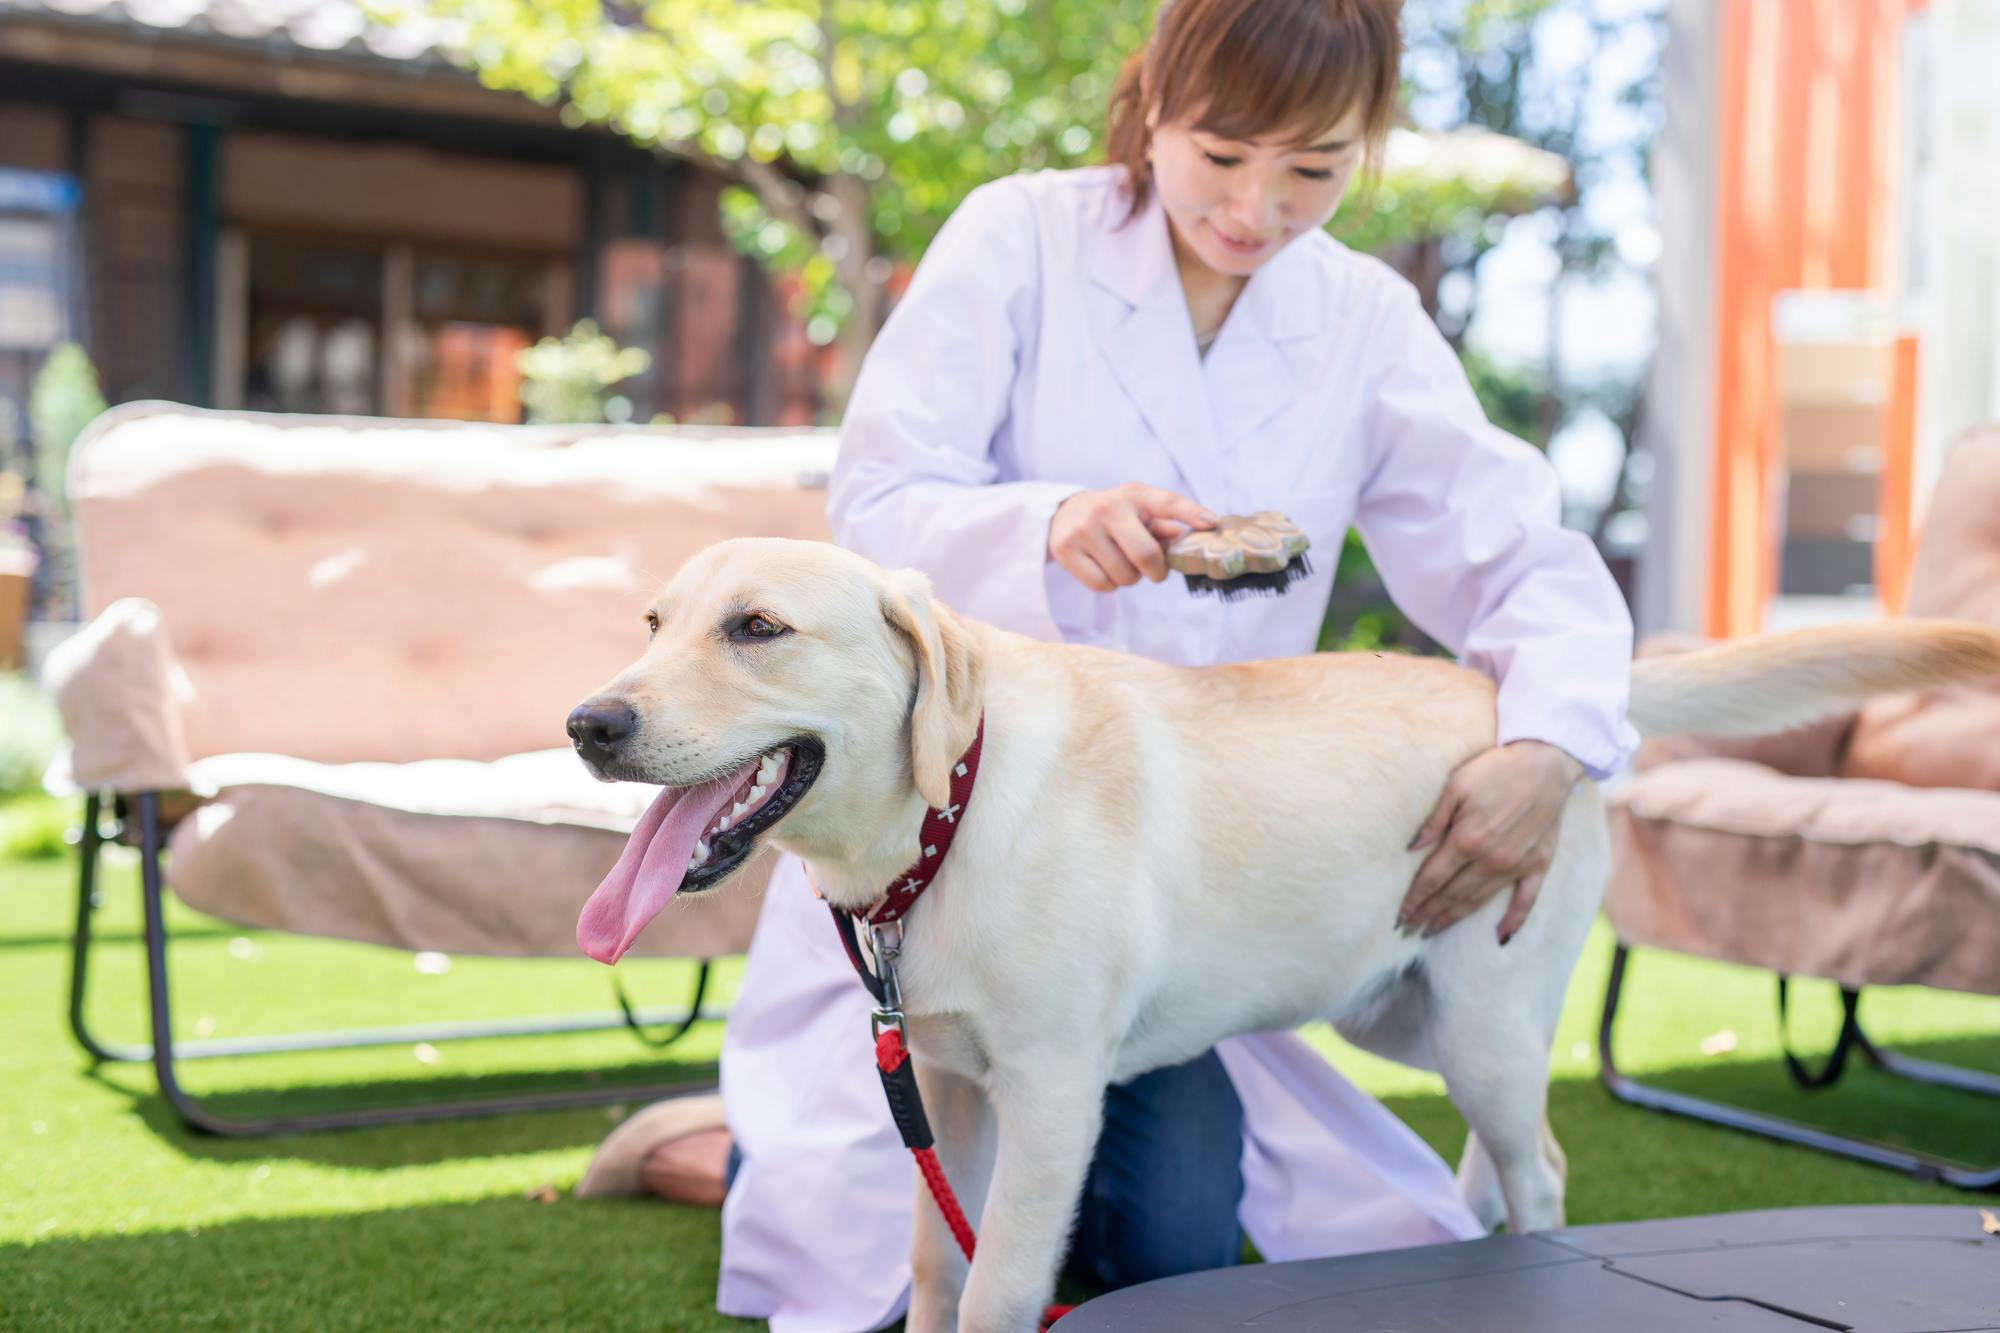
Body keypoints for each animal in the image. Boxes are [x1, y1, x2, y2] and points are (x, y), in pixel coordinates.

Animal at [564, 536, 2000, 1320]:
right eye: (653, 624)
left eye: (757, 627)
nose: (589, 720)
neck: (944, 818)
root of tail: (1525, 702)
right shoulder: (947, 1086)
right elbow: (930, 1270)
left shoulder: (1052, 1099)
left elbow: (999, 1283)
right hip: (1405, 1019)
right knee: (1502, 1157)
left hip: (1483, 1023)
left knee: (1540, 1168)